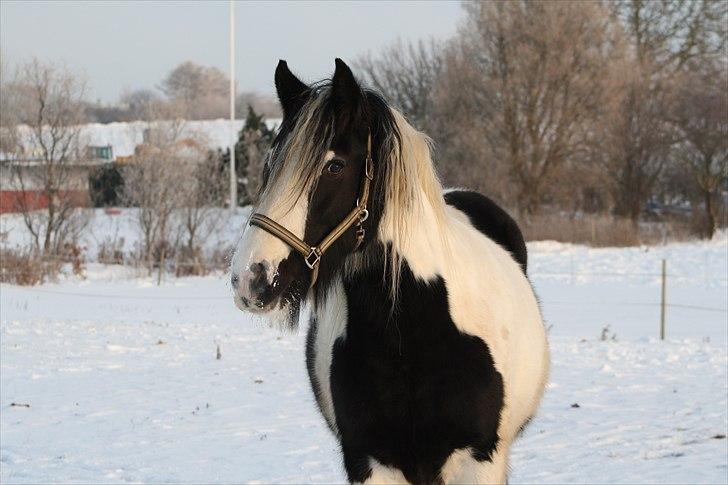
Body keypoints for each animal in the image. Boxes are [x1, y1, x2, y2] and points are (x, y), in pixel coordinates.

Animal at [230, 58, 548, 482]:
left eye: (334, 166)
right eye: (270, 164)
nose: (251, 278)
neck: (408, 333)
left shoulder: (479, 460)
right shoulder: (368, 460)